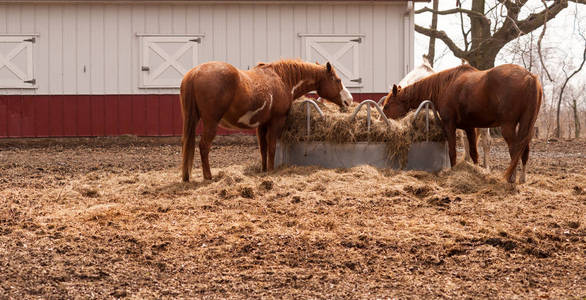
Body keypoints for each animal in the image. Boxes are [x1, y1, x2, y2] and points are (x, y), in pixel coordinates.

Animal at [180, 58, 350, 180]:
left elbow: (263, 148)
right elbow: (272, 147)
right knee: (203, 146)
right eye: (337, 80)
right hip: (211, 123)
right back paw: (208, 176)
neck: (282, 79)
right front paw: (271, 170)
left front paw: (263, 170)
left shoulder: (262, 125)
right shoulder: (276, 122)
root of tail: (195, 72)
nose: (349, 100)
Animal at [380, 64, 540, 184]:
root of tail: (529, 77)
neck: (446, 84)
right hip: (526, 125)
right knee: (524, 150)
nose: (382, 121)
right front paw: (476, 172)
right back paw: (522, 179)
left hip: (508, 126)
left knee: (515, 150)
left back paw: (511, 178)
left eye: (387, 106)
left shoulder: (450, 126)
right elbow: (474, 153)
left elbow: (452, 152)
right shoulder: (469, 128)